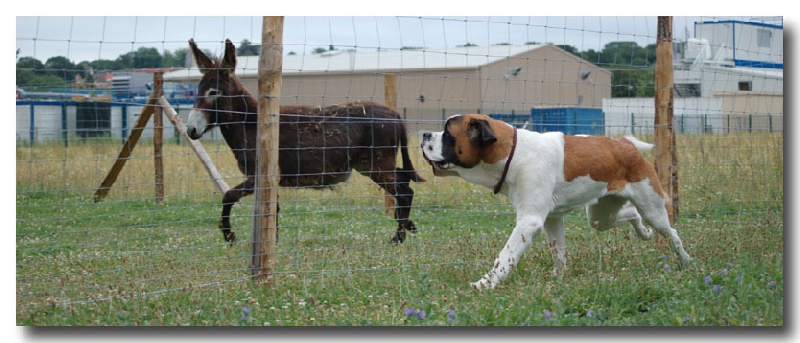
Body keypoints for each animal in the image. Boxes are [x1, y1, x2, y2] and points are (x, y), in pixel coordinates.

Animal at [422, 115, 692, 290]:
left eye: (448, 133)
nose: (425, 134)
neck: (512, 153)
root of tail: (624, 143)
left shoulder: (529, 222)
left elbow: (506, 256)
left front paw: (485, 284)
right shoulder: (551, 219)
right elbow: (558, 252)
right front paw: (559, 279)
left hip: (652, 209)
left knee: (672, 233)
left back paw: (685, 261)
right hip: (600, 216)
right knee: (631, 214)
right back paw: (644, 233)